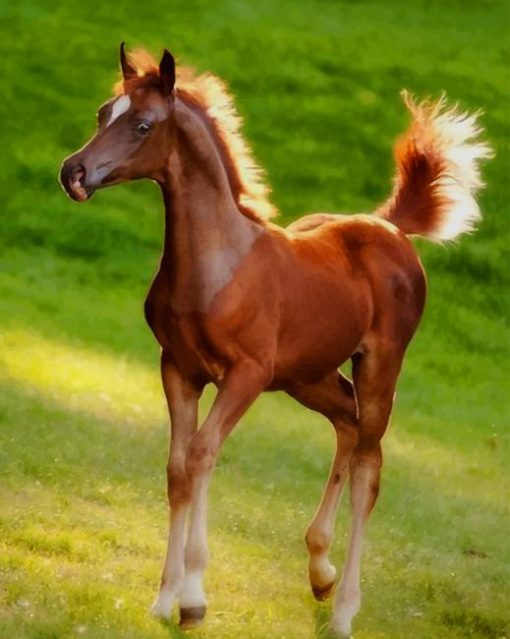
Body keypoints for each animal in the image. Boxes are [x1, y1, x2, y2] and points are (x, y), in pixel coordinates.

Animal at [58, 46, 490, 639]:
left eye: (142, 124)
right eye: (104, 114)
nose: (73, 172)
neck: (215, 265)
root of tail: (390, 228)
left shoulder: (245, 376)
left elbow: (202, 455)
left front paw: (193, 599)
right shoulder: (178, 369)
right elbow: (178, 468)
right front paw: (164, 599)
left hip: (379, 367)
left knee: (369, 467)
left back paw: (344, 609)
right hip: (309, 377)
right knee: (347, 426)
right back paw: (320, 571)